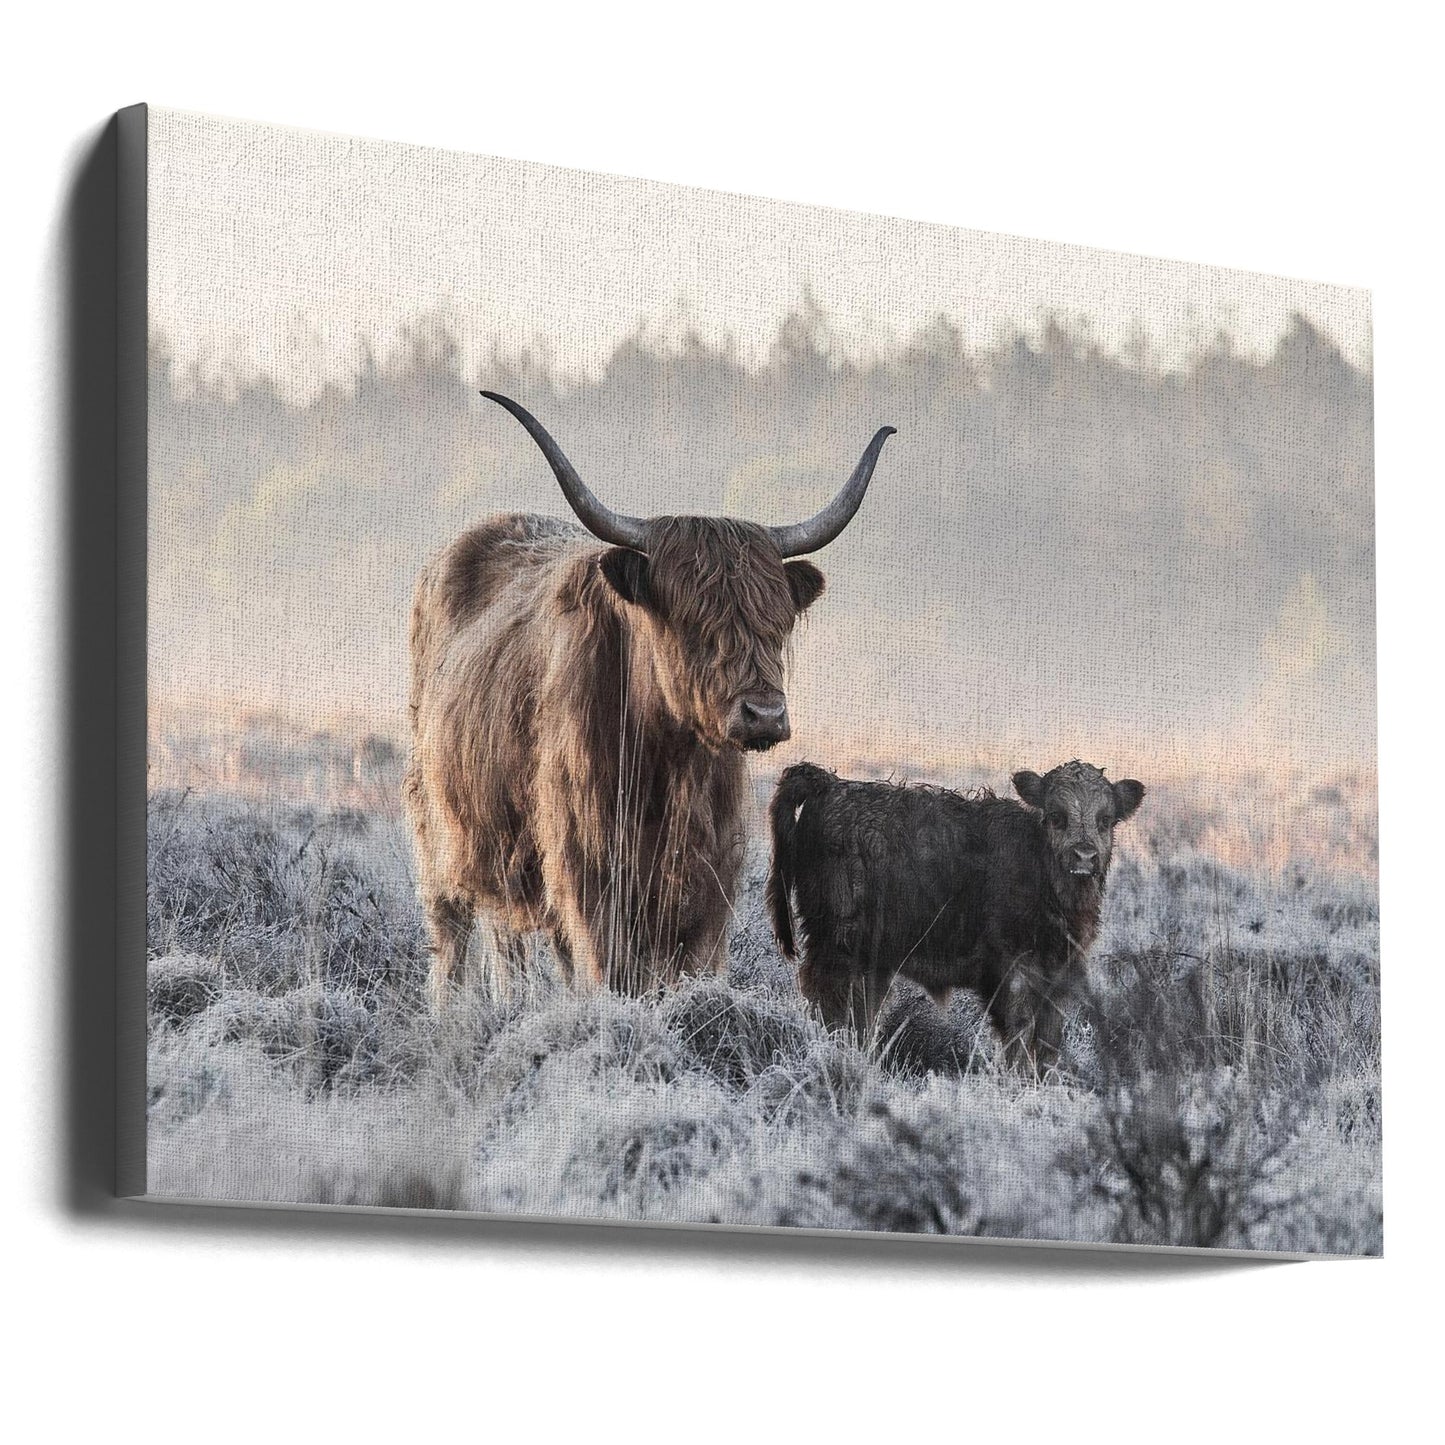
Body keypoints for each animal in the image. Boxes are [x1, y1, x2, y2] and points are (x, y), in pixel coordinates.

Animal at [405, 392, 896, 1003]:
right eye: (690, 621)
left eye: (776, 623)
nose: (764, 714)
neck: (671, 764)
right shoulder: (590, 871)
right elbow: (610, 972)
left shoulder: (711, 884)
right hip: (439, 835)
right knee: (452, 939)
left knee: (510, 943)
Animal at [765, 760, 1145, 1074]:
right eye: (1056, 815)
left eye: (1105, 820)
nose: (1084, 856)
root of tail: (830, 784)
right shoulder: (1013, 972)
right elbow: (1020, 1035)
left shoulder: (1058, 976)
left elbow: (1048, 1043)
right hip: (837, 944)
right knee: (830, 1003)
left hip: (870, 962)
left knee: (860, 1012)